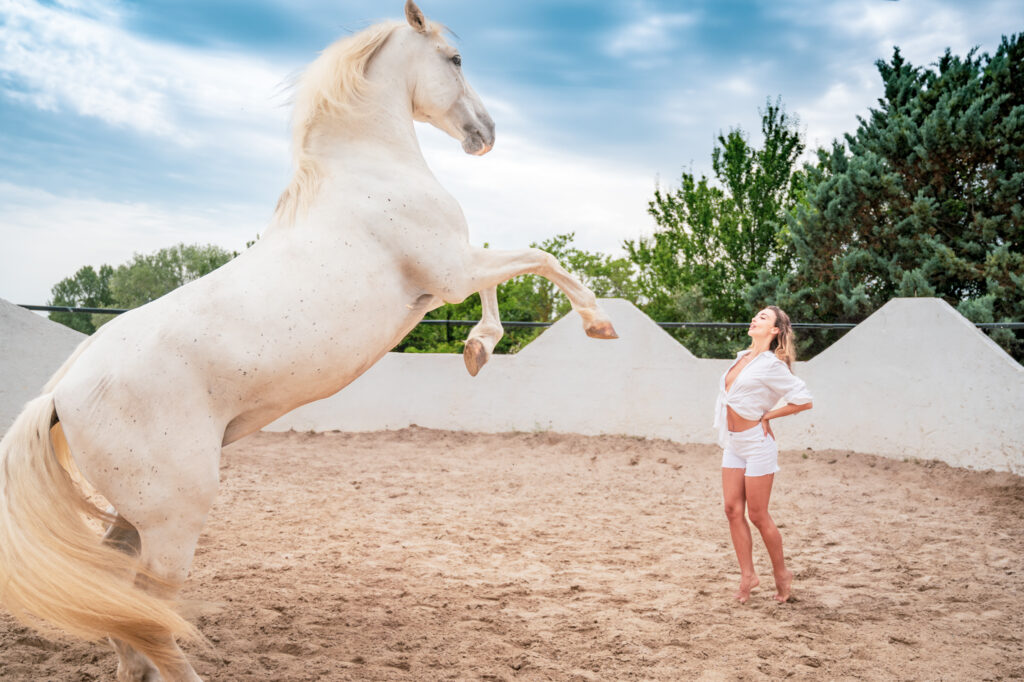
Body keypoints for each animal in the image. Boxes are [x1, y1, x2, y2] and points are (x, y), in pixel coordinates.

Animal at [0, 3, 617, 680]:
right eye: (455, 60)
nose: (485, 133)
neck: (371, 173)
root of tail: (61, 394)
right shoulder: (452, 271)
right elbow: (540, 260)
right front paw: (595, 324)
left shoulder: (448, 279)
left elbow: (508, 284)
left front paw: (478, 350)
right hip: (174, 518)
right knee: (148, 610)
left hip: (137, 517)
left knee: (120, 601)